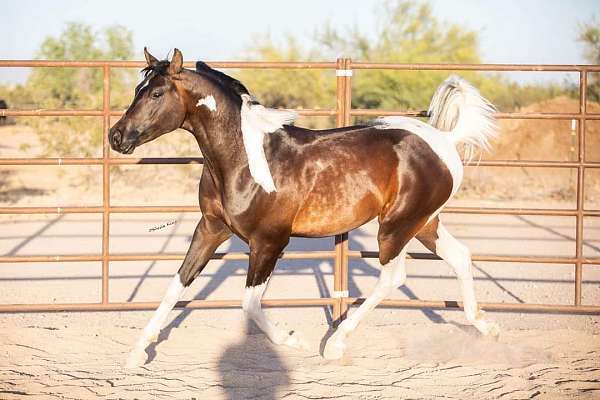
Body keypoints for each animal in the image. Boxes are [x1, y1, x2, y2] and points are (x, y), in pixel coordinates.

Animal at [111, 48, 502, 368]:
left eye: (157, 93)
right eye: (137, 89)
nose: (116, 137)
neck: (244, 160)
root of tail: (444, 141)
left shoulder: (269, 242)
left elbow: (250, 304)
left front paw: (292, 340)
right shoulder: (210, 229)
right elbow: (176, 285)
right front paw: (136, 354)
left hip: (396, 225)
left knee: (394, 277)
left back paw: (336, 345)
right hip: (424, 223)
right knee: (460, 256)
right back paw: (486, 327)